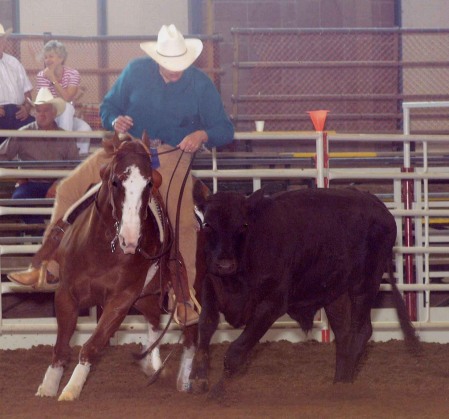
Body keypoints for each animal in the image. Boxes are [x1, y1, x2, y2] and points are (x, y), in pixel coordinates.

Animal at [36, 136, 200, 402]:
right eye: (115, 181)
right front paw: (48, 387)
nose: (130, 239)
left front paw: (71, 390)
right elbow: (61, 345)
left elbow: (93, 344)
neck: (101, 249)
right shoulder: (66, 293)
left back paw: (184, 380)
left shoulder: (121, 300)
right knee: (154, 320)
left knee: (191, 334)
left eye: (148, 184)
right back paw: (152, 365)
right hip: (145, 296)